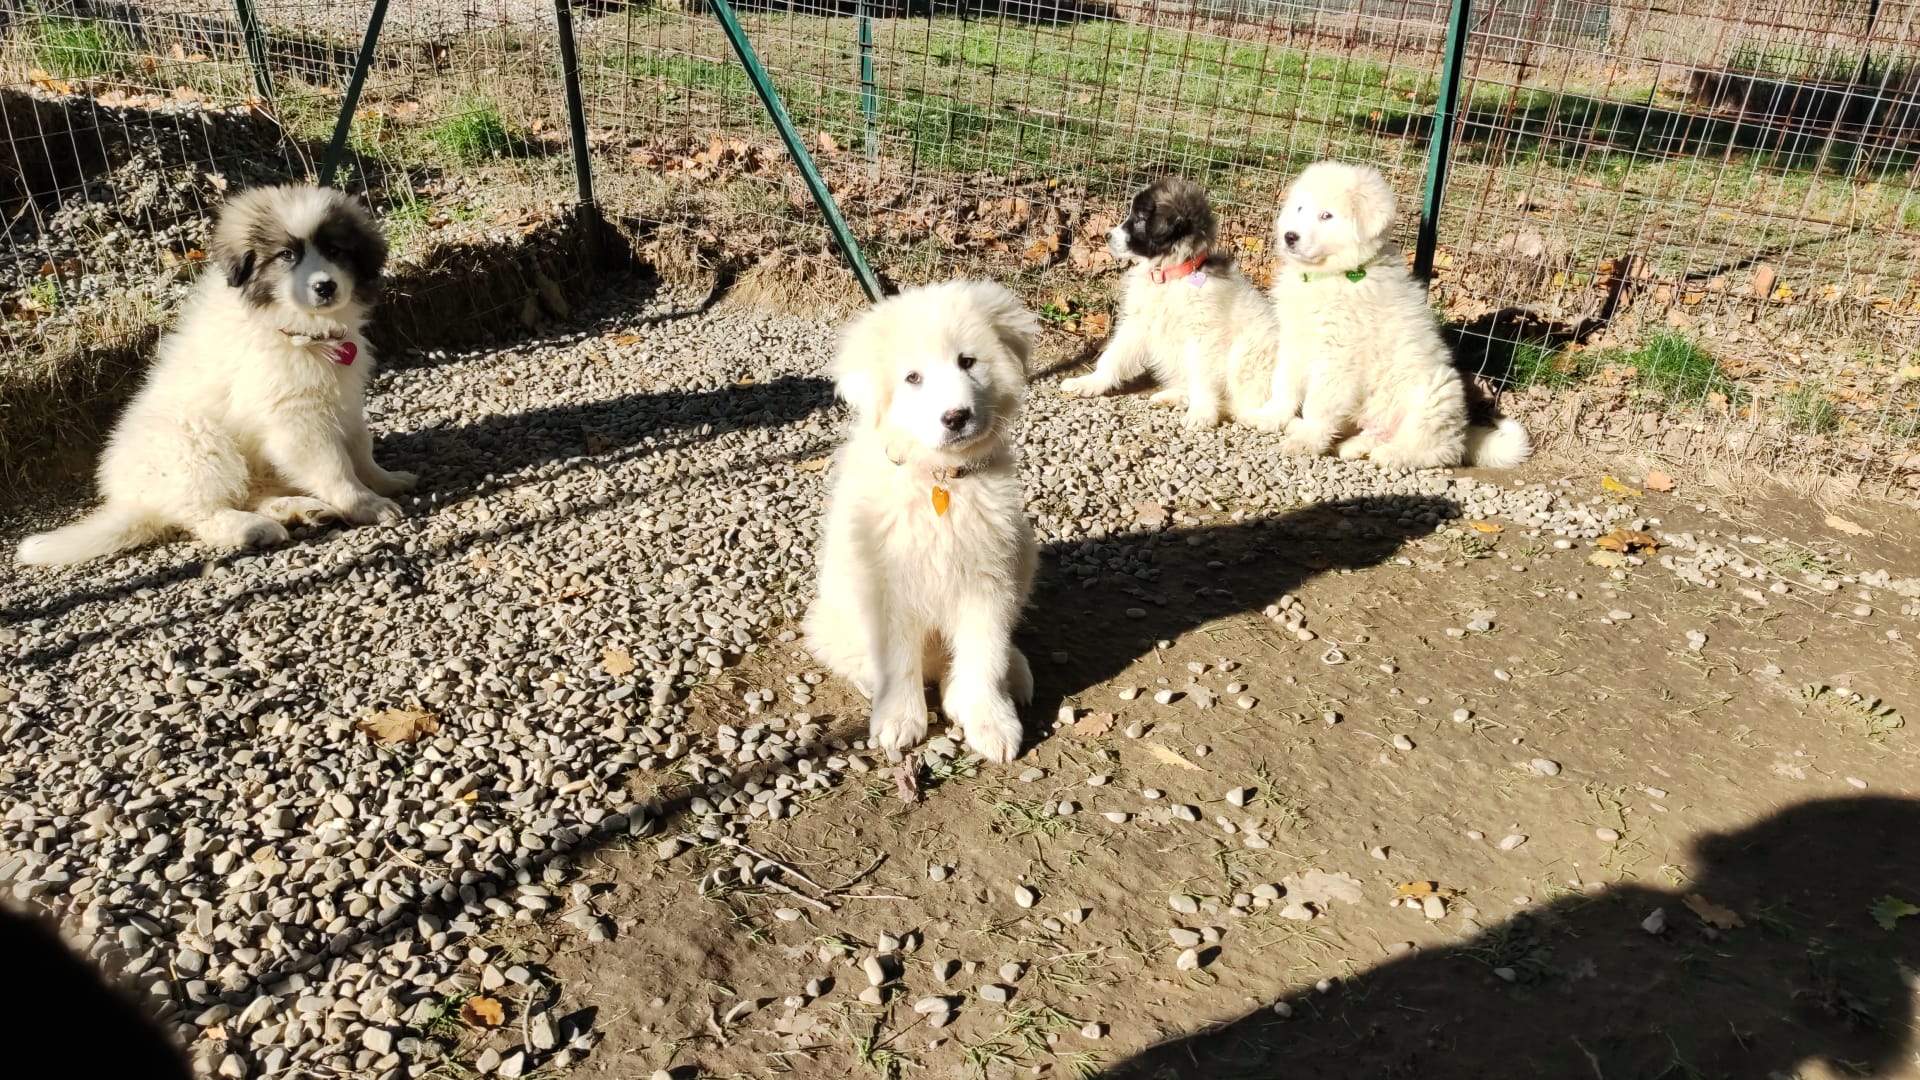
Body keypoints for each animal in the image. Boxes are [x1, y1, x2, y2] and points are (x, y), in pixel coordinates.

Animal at [15, 184, 414, 567]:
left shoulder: (342, 399)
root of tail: (133, 502)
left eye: (335, 250)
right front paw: (365, 504)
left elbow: (360, 447)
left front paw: (385, 481)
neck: (296, 328)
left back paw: (300, 509)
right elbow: (334, 466)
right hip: (198, 443)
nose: (325, 287)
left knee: (251, 492)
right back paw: (253, 529)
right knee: (202, 514)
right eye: (286, 255)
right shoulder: (294, 419)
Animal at [803, 280, 1041, 764]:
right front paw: (899, 721)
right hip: (833, 610)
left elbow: (985, 655)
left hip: (1024, 551)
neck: (939, 480)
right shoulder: (887, 587)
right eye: (913, 378)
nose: (956, 417)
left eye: (967, 361)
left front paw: (991, 722)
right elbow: (897, 662)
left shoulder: (989, 579)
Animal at [1059, 177, 1282, 430]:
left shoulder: (1203, 338)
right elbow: (1112, 356)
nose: (1106, 236)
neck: (1170, 275)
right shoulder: (1138, 323)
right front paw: (1090, 383)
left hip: (1250, 351)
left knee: (1244, 405)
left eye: (1140, 219)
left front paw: (1202, 413)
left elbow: (1202, 379)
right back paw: (1173, 396)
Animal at [1255, 161, 1531, 470]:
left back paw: (1392, 454)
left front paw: (1307, 440)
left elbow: (1319, 404)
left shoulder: (1339, 359)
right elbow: (1283, 384)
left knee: (1437, 450)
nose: (1289, 236)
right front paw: (1270, 416)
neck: (1332, 275)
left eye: (1327, 215)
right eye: (1300, 208)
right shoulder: (1294, 342)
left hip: (1434, 394)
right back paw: (1351, 445)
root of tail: (1461, 432)